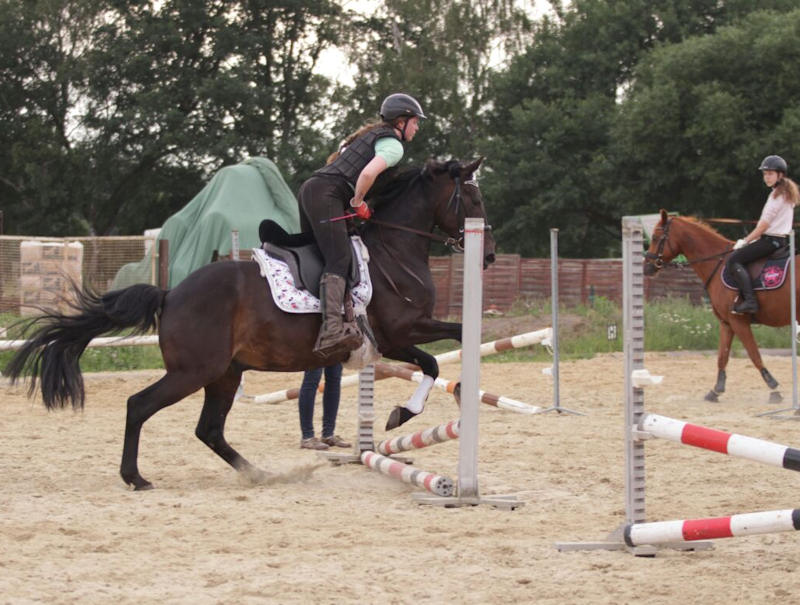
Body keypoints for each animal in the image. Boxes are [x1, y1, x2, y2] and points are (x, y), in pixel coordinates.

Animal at [5, 158, 496, 490]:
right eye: (473, 200)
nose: (488, 256)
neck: (396, 250)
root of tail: (171, 293)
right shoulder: (400, 334)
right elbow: (435, 360)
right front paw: (403, 413)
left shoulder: (400, 337)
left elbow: (447, 350)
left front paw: (446, 400)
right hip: (194, 371)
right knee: (139, 406)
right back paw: (135, 477)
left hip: (224, 373)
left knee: (209, 429)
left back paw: (259, 473)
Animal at [644, 208, 798, 403]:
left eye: (655, 237)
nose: (646, 266)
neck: (717, 264)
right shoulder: (726, 323)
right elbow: (722, 356)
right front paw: (716, 390)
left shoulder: (738, 321)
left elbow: (754, 354)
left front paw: (774, 388)